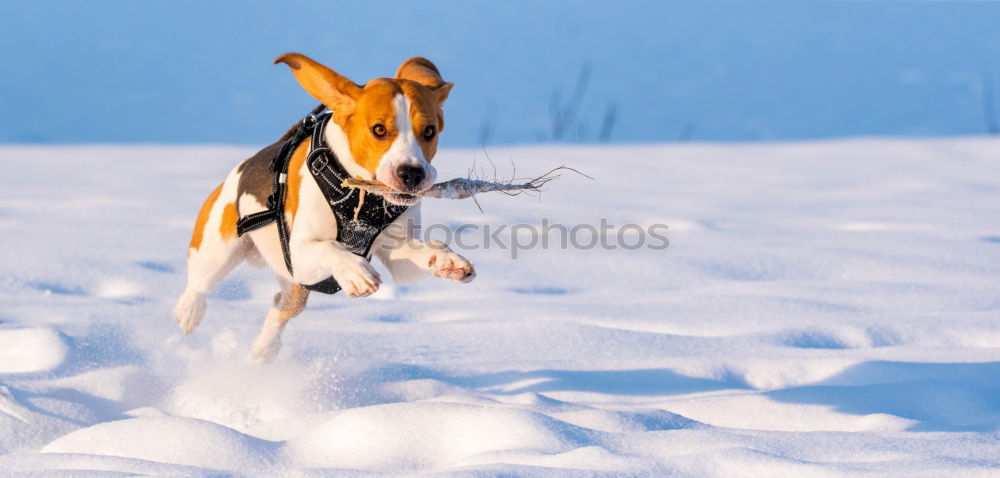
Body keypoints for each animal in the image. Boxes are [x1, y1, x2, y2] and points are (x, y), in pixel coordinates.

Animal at [176, 53, 476, 362]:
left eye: (429, 131)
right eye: (379, 129)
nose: (412, 174)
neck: (363, 197)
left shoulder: (397, 256)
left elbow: (423, 251)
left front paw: (447, 261)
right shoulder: (298, 254)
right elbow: (330, 248)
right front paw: (356, 272)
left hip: (295, 287)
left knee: (281, 306)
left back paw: (263, 349)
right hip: (218, 249)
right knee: (199, 282)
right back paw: (189, 311)